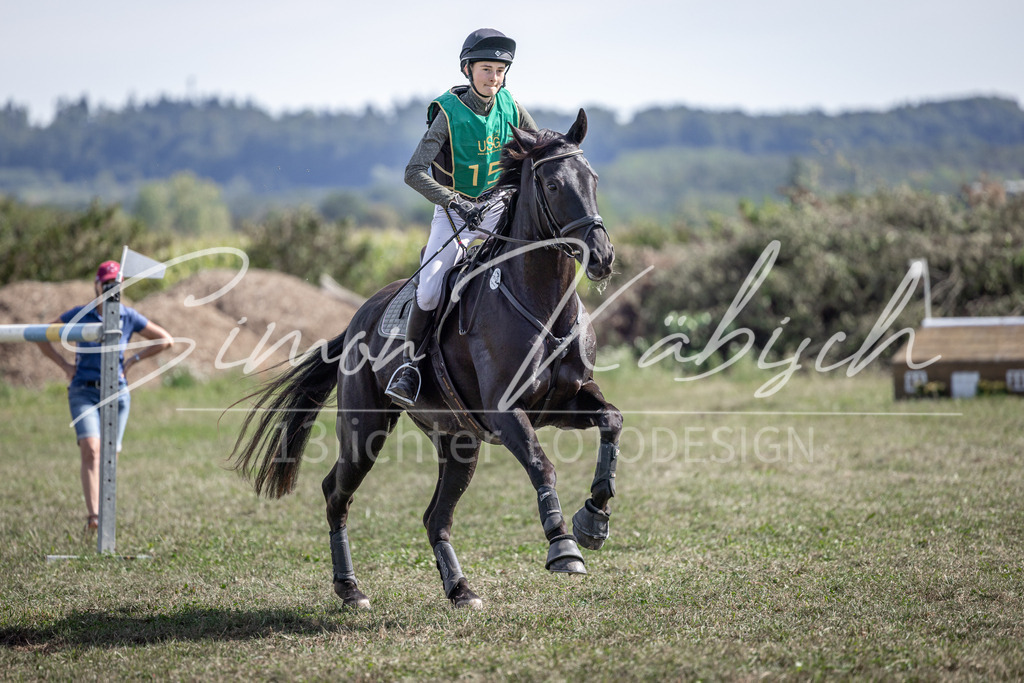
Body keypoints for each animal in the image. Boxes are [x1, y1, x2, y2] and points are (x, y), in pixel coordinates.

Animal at [230, 109, 623, 609]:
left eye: (593, 179)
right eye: (553, 185)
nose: (602, 257)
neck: (543, 302)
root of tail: (358, 317)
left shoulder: (562, 404)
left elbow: (612, 420)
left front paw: (593, 519)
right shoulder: (507, 412)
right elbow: (541, 463)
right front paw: (563, 546)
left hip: (459, 443)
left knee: (435, 517)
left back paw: (460, 589)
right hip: (365, 431)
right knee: (336, 494)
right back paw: (350, 588)